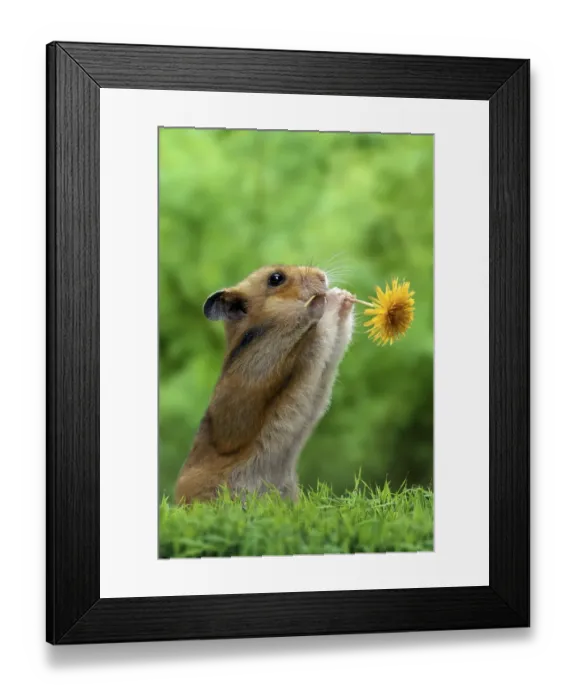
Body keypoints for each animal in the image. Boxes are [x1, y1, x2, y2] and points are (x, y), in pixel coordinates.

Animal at [174, 265, 355, 505]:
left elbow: (331, 334)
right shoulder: (257, 365)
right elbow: (297, 326)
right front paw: (320, 302)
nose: (322, 276)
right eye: (276, 278)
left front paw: (342, 295)